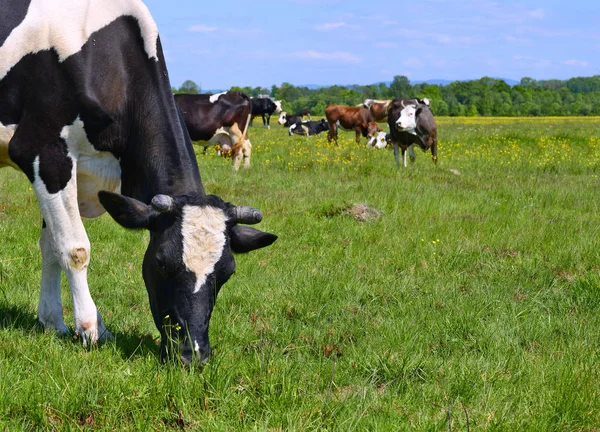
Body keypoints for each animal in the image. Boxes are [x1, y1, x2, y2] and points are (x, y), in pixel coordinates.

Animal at [0, 0, 276, 364]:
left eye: (227, 272)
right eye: (161, 262)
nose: (193, 353)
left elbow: (51, 246)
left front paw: (51, 322)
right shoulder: (44, 153)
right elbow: (74, 249)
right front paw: (91, 328)